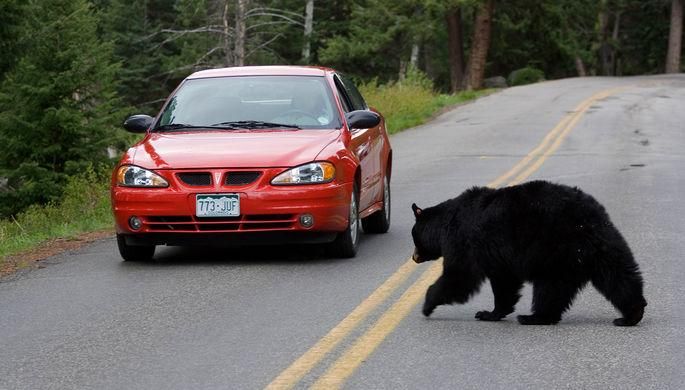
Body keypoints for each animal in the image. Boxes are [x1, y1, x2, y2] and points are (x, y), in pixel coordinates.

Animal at [412, 181, 648, 326]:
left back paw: (533, 317)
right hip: (602, 246)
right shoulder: (499, 259)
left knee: (549, 287)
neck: (445, 223)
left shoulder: (464, 240)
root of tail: (587, 219)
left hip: (553, 250)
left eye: (414, 237)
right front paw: (492, 313)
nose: (413, 257)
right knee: (618, 275)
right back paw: (632, 314)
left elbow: (460, 276)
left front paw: (427, 304)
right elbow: (504, 283)